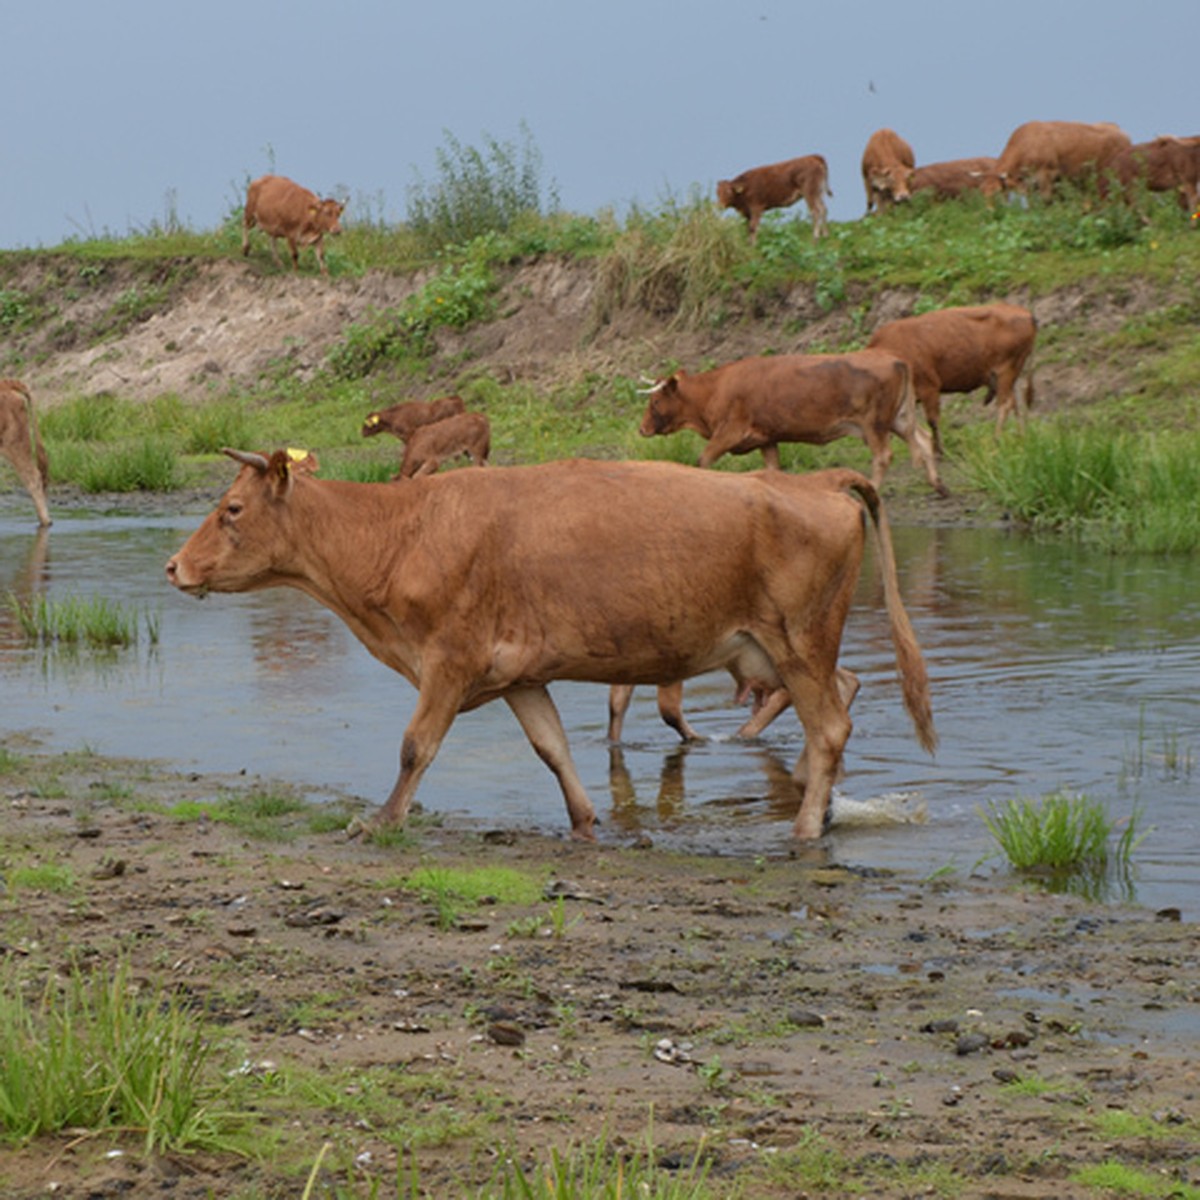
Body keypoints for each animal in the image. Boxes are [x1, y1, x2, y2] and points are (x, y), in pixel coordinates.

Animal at [166, 453, 936, 840]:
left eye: (231, 509)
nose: (173, 566)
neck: (403, 531)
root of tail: (814, 478)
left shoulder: (449, 659)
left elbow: (416, 745)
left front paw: (382, 819)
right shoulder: (518, 675)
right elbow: (552, 747)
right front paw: (585, 817)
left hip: (800, 639)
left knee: (830, 722)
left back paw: (804, 827)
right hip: (773, 649)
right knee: (842, 697)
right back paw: (818, 801)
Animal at [638, 348, 945, 496]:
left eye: (655, 402)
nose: (642, 428)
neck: (715, 389)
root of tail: (894, 359)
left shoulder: (729, 431)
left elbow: (703, 460)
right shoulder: (766, 438)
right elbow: (773, 468)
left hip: (875, 423)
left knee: (883, 455)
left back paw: (873, 488)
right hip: (898, 418)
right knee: (923, 438)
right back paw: (938, 485)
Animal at [868, 302, 1036, 456]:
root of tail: (1027, 314)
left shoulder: (929, 388)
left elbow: (932, 420)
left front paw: (939, 450)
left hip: (1005, 371)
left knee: (1005, 404)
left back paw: (996, 439)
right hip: (1011, 375)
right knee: (1016, 402)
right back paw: (1021, 436)